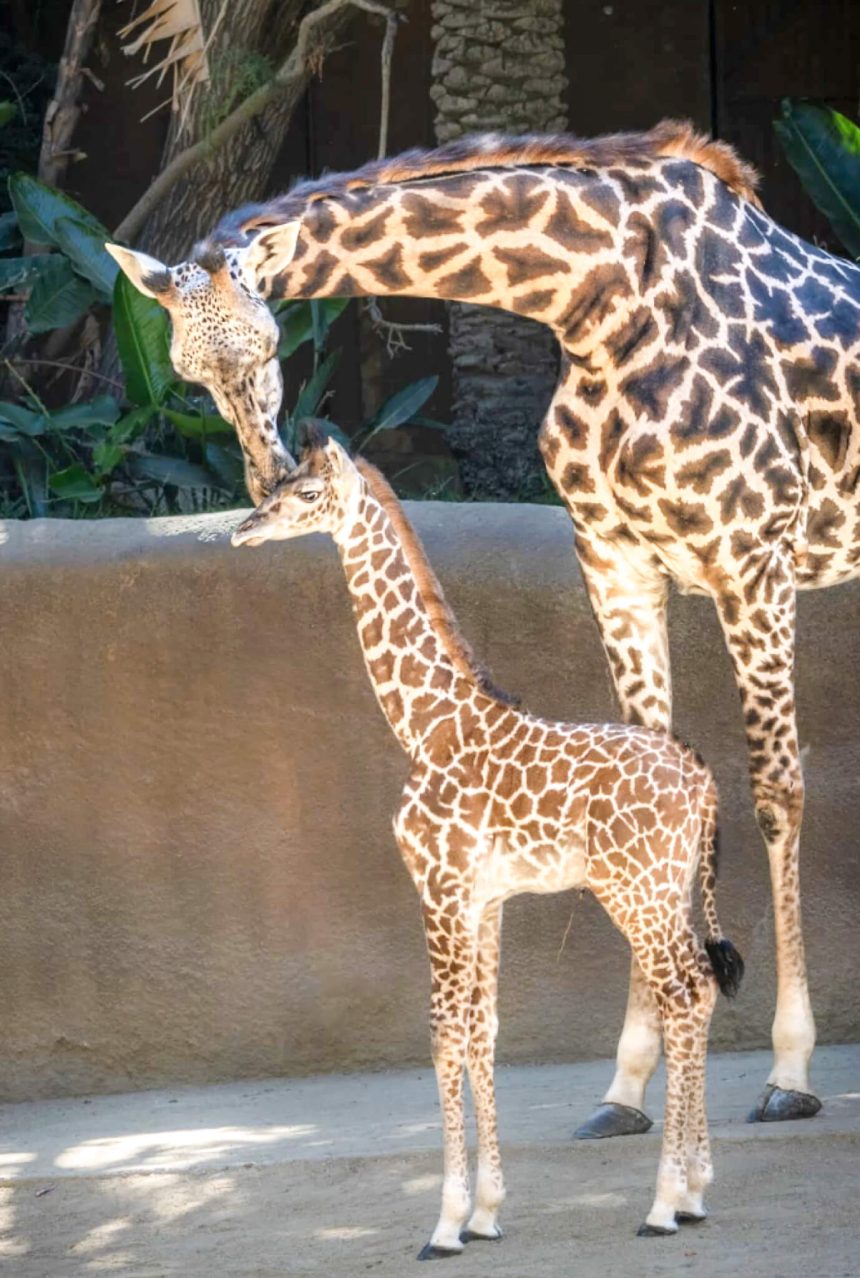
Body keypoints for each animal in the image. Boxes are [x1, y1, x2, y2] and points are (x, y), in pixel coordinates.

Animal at [109, 117, 858, 1129]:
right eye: (187, 372)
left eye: (268, 340)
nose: (266, 477)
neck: (599, 300)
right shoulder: (613, 557)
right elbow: (648, 765)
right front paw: (627, 1084)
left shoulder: (752, 554)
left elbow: (779, 793)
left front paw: (790, 1070)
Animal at [231, 431, 741, 1257]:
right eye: (276, 485)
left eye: (304, 495)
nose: (244, 528)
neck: (426, 724)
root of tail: (702, 781)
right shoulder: (485, 900)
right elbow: (484, 1032)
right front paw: (488, 1212)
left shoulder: (438, 888)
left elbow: (443, 1034)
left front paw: (444, 1224)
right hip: (672, 888)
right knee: (695, 989)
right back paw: (694, 1192)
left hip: (635, 890)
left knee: (684, 992)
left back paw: (665, 1202)